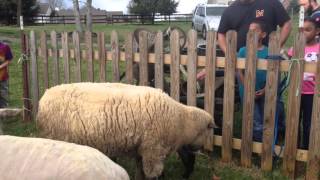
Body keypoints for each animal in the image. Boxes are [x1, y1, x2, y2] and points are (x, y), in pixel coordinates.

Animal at [36, 82, 214, 179]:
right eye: (206, 132)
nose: (198, 149)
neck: (181, 121)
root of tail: (44, 98)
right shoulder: (153, 150)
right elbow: (154, 175)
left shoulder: (142, 149)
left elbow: (140, 171)